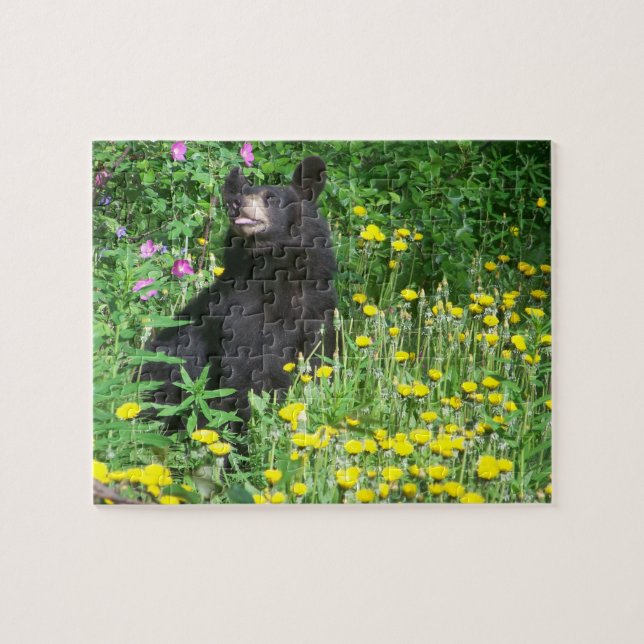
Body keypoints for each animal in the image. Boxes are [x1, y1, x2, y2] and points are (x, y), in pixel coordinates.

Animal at [138, 156, 337, 433]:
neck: (274, 273)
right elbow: (249, 369)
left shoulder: (317, 305)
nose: (235, 204)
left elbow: (319, 356)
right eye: (241, 194)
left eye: (270, 196)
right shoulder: (241, 314)